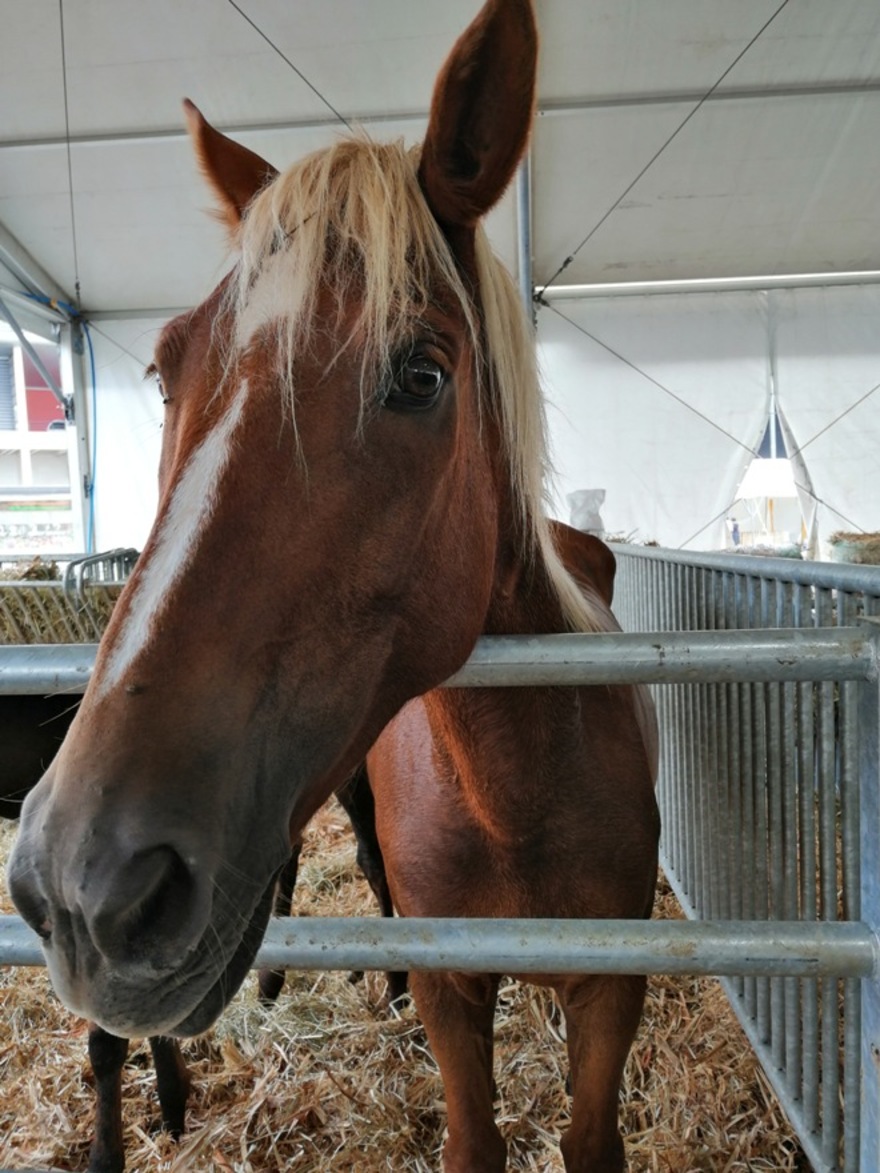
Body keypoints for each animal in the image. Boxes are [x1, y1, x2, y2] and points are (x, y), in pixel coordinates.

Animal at [6, 4, 657, 1168]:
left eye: (421, 374)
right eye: (166, 368)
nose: (84, 888)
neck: (519, 794)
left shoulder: (608, 996)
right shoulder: (455, 992)